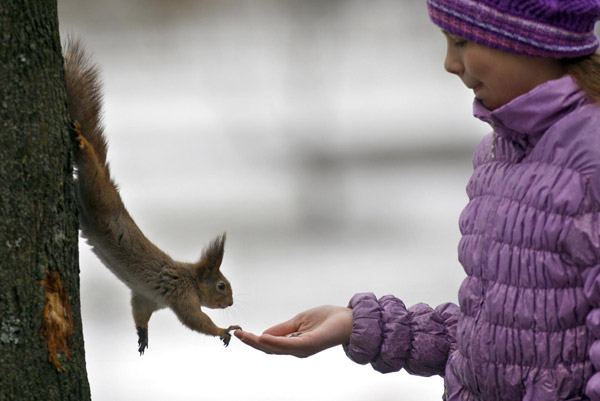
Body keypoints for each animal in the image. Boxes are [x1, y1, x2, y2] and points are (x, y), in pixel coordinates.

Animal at [61, 38, 239, 354]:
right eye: (221, 285)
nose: (231, 302)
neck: (190, 278)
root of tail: (109, 185)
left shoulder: (148, 299)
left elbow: (139, 312)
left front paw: (143, 335)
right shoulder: (181, 295)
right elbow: (197, 321)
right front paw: (223, 330)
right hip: (99, 194)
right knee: (90, 166)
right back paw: (82, 142)